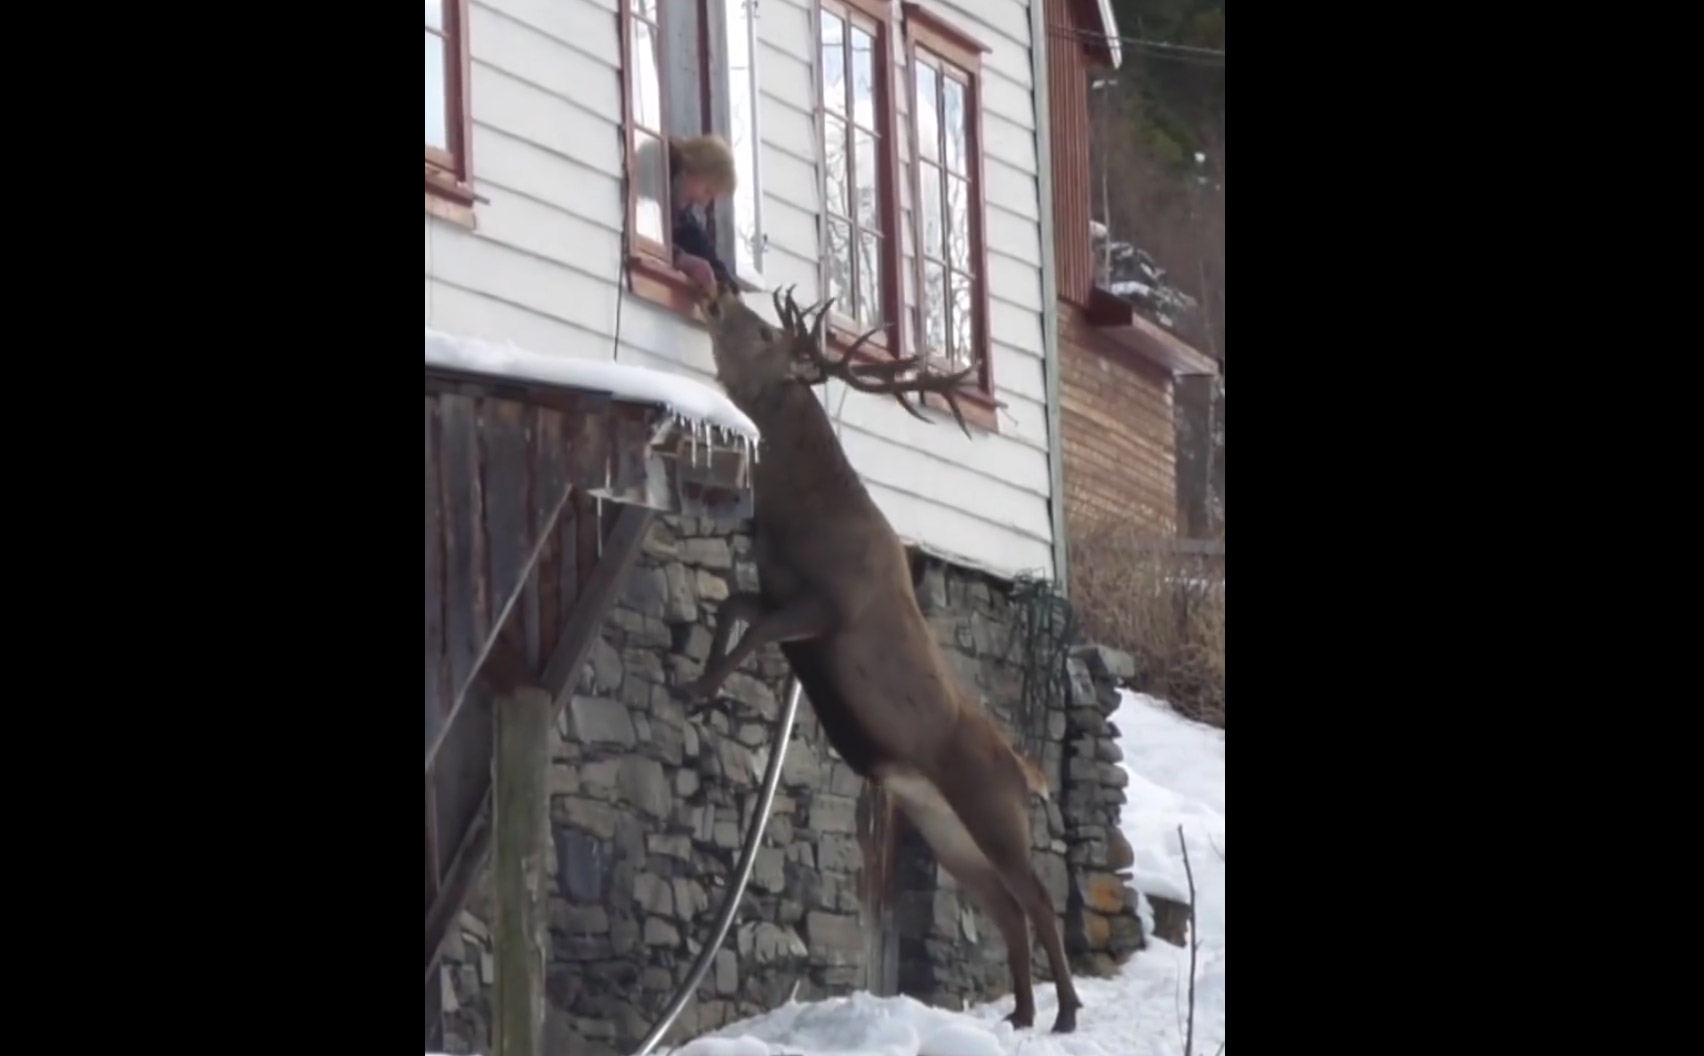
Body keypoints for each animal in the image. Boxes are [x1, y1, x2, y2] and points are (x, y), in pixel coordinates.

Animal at [671, 284, 1083, 1035]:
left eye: (767, 332)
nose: (718, 292)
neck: (800, 520)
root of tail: (1027, 773)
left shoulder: (829, 610)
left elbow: (755, 631)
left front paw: (703, 686)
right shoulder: (776, 588)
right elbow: (733, 608)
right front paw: (700, 685)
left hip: (993, 812)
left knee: (1036, 896)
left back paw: (1065, 1012)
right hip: (945, 829)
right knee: (1004, 906)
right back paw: (1019, 1013)